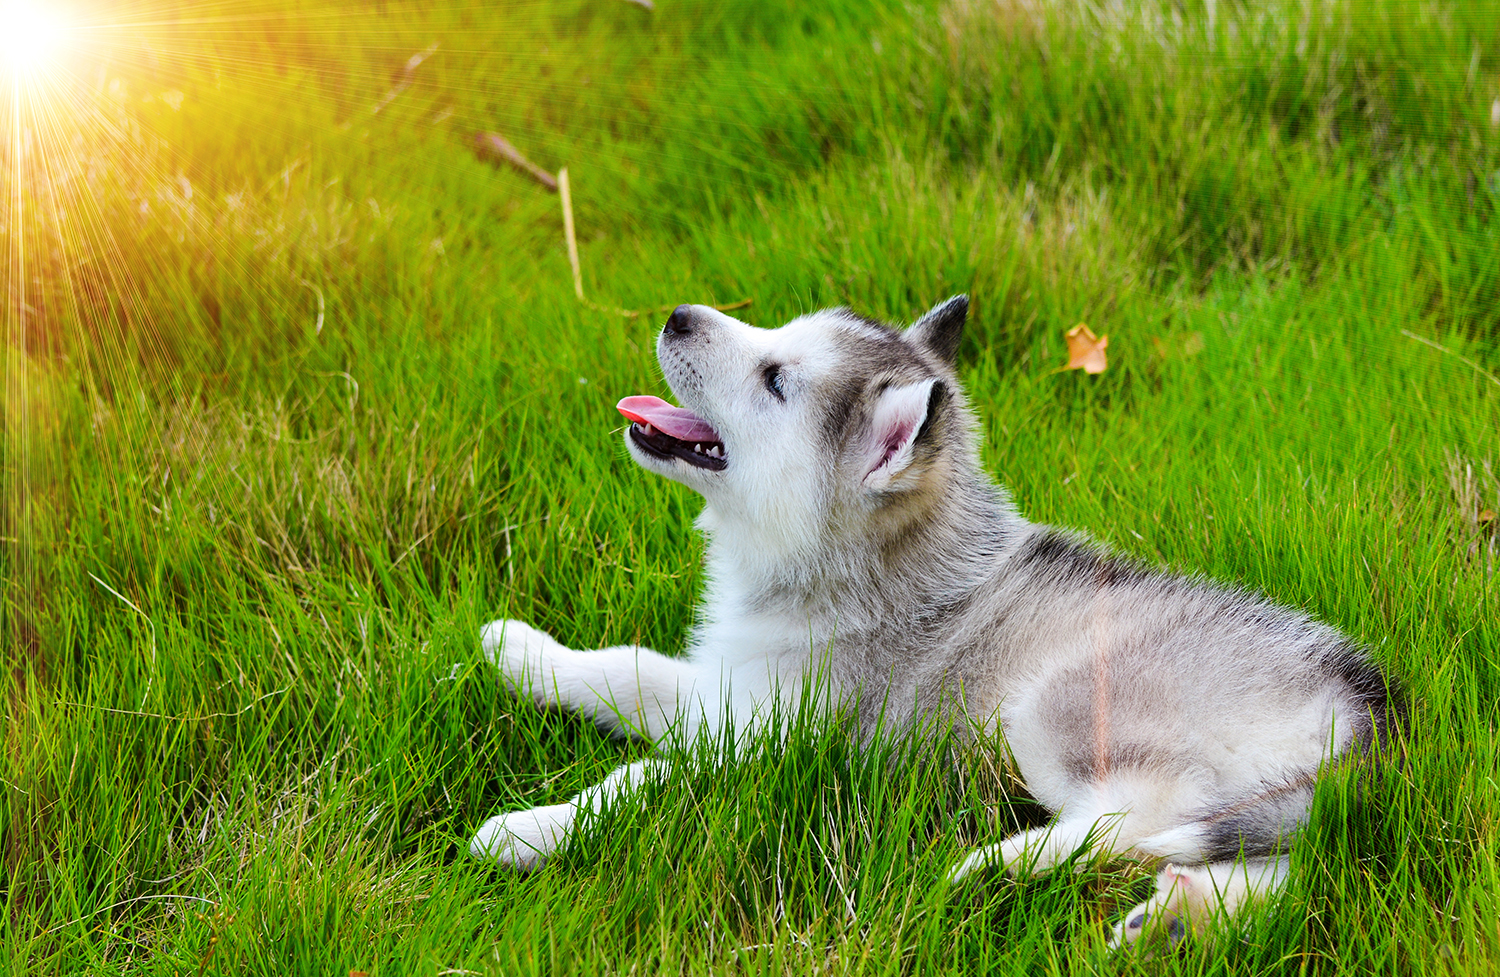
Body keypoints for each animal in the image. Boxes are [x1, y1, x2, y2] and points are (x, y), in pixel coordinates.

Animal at [474, 295, 1398, 948]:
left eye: (776, 379)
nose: (676, 313)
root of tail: (1362, 699)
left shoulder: (772, 749)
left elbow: (645, 778)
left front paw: (529, 829)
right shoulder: (728, 689)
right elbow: (627, 668)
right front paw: (518, 651)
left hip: (1056, 709)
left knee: (1134, 813)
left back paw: (991, 866)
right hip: (1279, 805)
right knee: (1275, 865)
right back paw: (1176, 923)